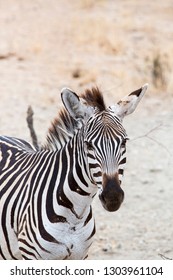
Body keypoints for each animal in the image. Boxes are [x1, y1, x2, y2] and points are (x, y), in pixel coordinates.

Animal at [0, 83, 147, 260]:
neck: (75, 215)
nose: (113, 197)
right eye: (88, 145)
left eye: (124, 142)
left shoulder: (80, 255)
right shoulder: (31, 255)